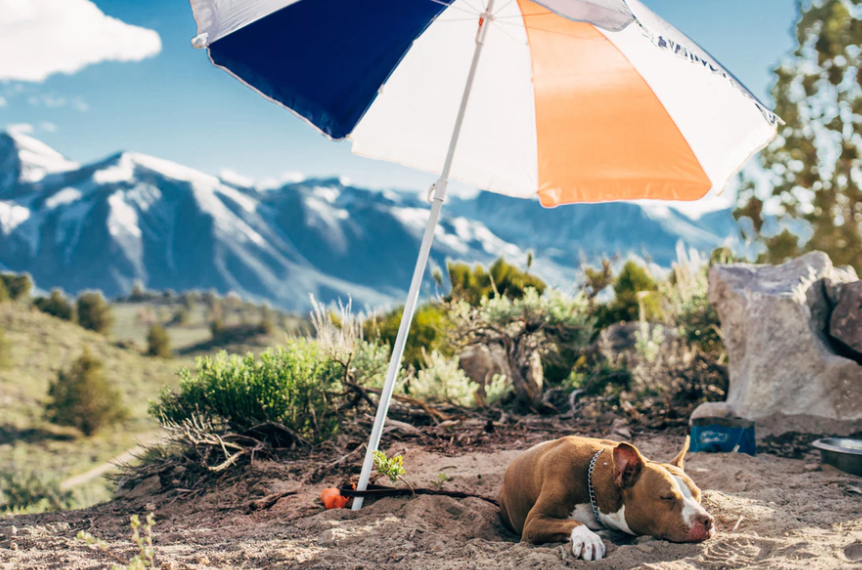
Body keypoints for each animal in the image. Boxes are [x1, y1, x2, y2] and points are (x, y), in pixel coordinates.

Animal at [500, 434, 716, 560]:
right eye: (667, 498)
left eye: (698, 496)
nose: (708, 520)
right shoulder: (533, 522)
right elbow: (572, 522)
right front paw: (588, 539)